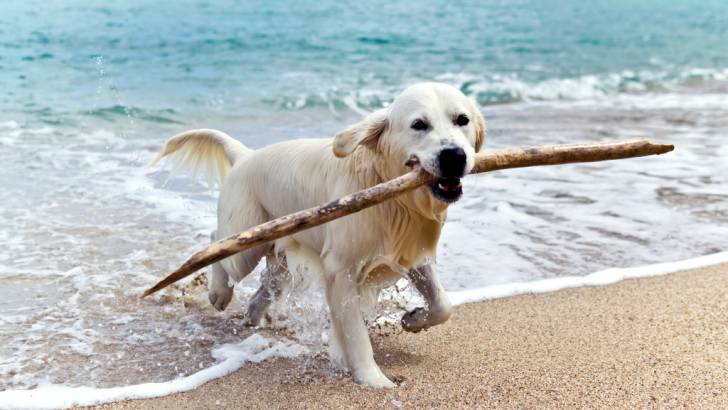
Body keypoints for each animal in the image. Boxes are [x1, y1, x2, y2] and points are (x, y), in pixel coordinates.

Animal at [151, 82, 486, 388]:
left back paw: (255, 319)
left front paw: (413, 320)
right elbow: (355, 335)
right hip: (246, 242)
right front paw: (374, 380)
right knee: (216, 243)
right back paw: (219, 292)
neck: (390, 193)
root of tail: (245, 156)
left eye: (462, 120)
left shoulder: (408, 252)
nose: (454, 156)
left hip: (280, 261)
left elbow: (442, 304)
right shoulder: (341, 269)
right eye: (419, 124)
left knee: (262, 290)